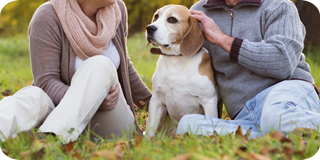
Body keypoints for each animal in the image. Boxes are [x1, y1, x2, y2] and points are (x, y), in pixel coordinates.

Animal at [144, 5, 218, 138]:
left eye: (172, 19)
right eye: (156, 16)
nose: (149, 28)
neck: (176, 59)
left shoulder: (209, 100)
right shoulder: (156, 100)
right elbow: (151, 127)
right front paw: (147, 141)